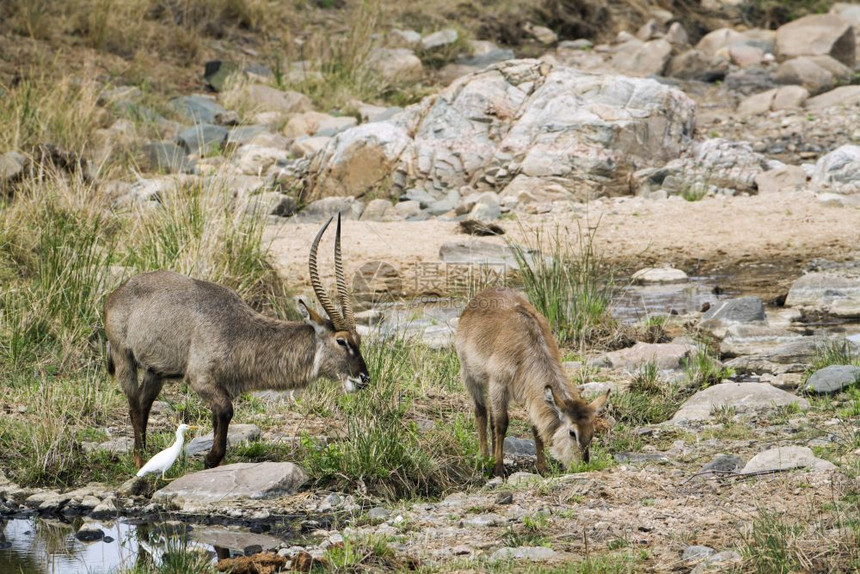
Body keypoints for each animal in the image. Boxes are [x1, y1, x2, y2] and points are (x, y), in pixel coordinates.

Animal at [103, 214, 366, 470]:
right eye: (341, 341)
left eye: (358, 339)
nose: (364, 377)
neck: (238, 329)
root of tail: (117, 293)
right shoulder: (201, 379)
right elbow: (226, 411)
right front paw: (211, 459)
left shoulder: (222, 386)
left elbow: (219, 419)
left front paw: (218, 463)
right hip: (124, 358)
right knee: (134, 406)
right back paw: (140, 461)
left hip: (155, 371)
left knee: (144, 403)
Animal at [456, 286, 612, 476]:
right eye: (572, 433)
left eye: (592, 433)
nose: (582, 466)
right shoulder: (498, 384)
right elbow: (501, 423)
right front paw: (499, 469)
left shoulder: (532, 392)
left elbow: (535, 427)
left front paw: (542, 467)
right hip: (469, 375)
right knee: (481, 412)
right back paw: (485, 459)